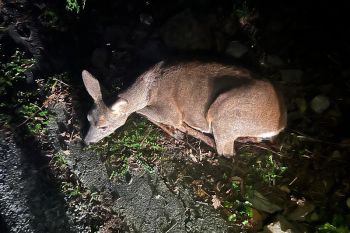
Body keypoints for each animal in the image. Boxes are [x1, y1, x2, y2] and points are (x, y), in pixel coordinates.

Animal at [82, 61, 288, 157]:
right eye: (88, 118)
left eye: (104, 126)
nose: (86, 142)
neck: (149, 87)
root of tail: (280, 124)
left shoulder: (170, 110)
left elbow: (143, 112)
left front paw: (177, 131)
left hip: (224, 114)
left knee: (225, 151)